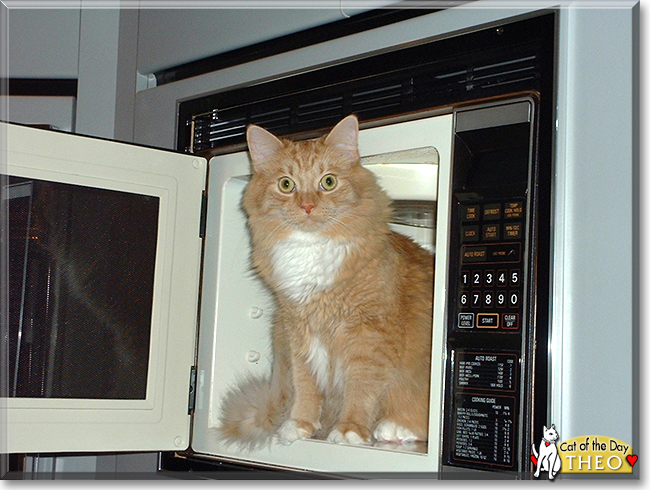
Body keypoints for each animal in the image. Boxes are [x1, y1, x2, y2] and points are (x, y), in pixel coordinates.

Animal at [215, 114, 432, 448]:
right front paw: (300, 424)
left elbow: (361, 387)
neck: (311, 249)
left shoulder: (369, 333)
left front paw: (350, 429)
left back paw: (395, 427)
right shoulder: (297, 330)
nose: (307, 206)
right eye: (286, 184)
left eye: (328, 182)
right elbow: (306, 384)